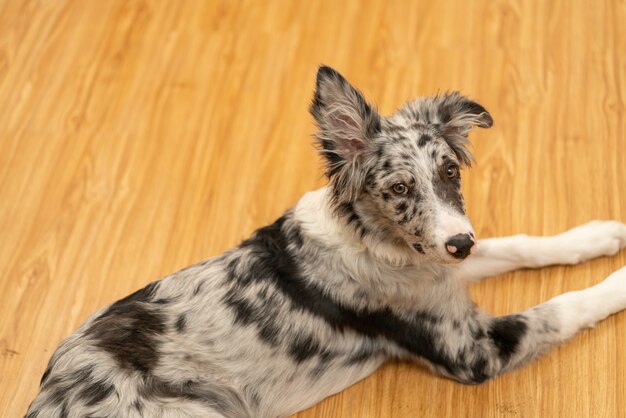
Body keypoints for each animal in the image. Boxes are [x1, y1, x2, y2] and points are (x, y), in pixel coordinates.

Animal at [26, 65, 624, 418]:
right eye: (399, 187)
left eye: (450, 172)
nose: (460, 244)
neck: (375, 241)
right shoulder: (471, 348)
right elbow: (563, 306)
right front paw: (618, 282)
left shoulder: (442, 263)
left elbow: (520, 244)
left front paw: (599, 234)